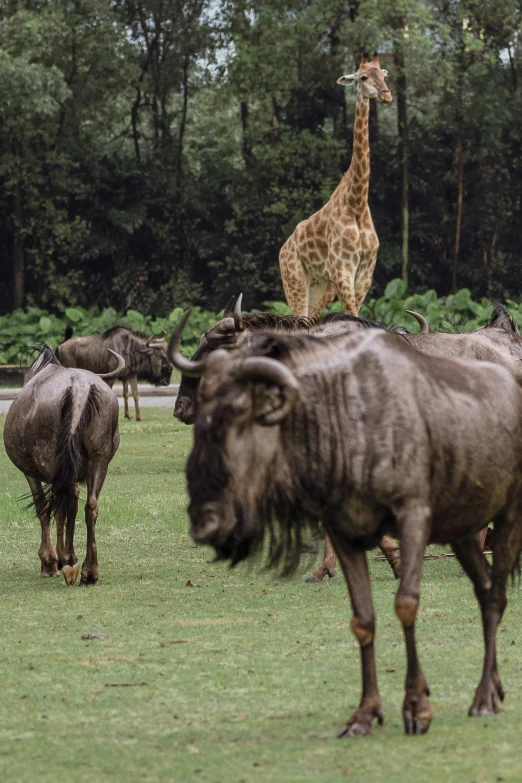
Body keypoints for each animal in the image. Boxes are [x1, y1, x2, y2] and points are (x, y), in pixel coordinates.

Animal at [278, 52, 388, 318]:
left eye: (384, 75)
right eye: (363, 77)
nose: (386, 93)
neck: (357, 203)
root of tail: (283, 249)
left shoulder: (365, 272)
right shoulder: (342, 269)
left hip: (320, 287)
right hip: (295, 279)